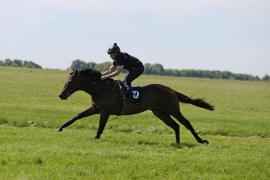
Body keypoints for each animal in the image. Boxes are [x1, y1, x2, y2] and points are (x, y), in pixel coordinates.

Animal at [58, 69, 214, 145]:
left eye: (70, 81)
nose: (61, 95)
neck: (100, 89)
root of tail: (172, 90)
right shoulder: (95, 109)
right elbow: (77, 116)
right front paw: (60, 127)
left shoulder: (105, 112)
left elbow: (101, 126)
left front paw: (96, 138)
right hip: (160, 113)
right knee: (175, 125)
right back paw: (177, 143)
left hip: (173, 110)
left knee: (186, 123)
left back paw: (201, 141)